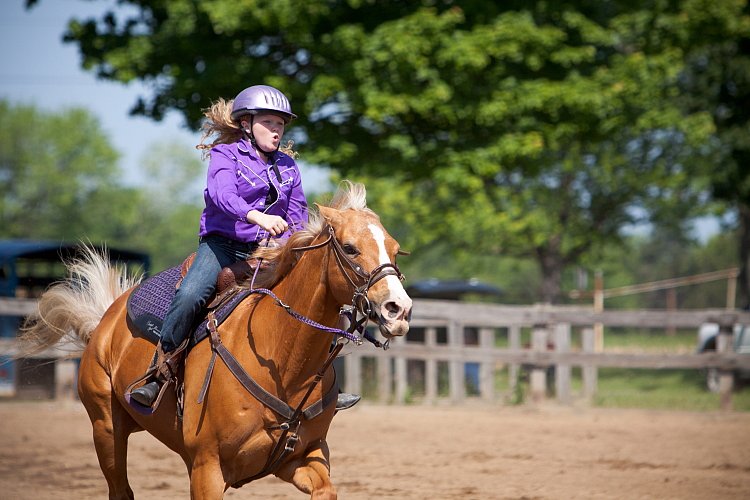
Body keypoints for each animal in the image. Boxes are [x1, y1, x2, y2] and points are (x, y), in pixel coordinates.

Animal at [23, 182, 414, 498]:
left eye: (395, 249)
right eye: (349, 248)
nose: (399, 308)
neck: (282, 362)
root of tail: (104, 323)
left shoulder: (304, 458)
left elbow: (325, 488)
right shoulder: (206, 468)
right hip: (106, 430)